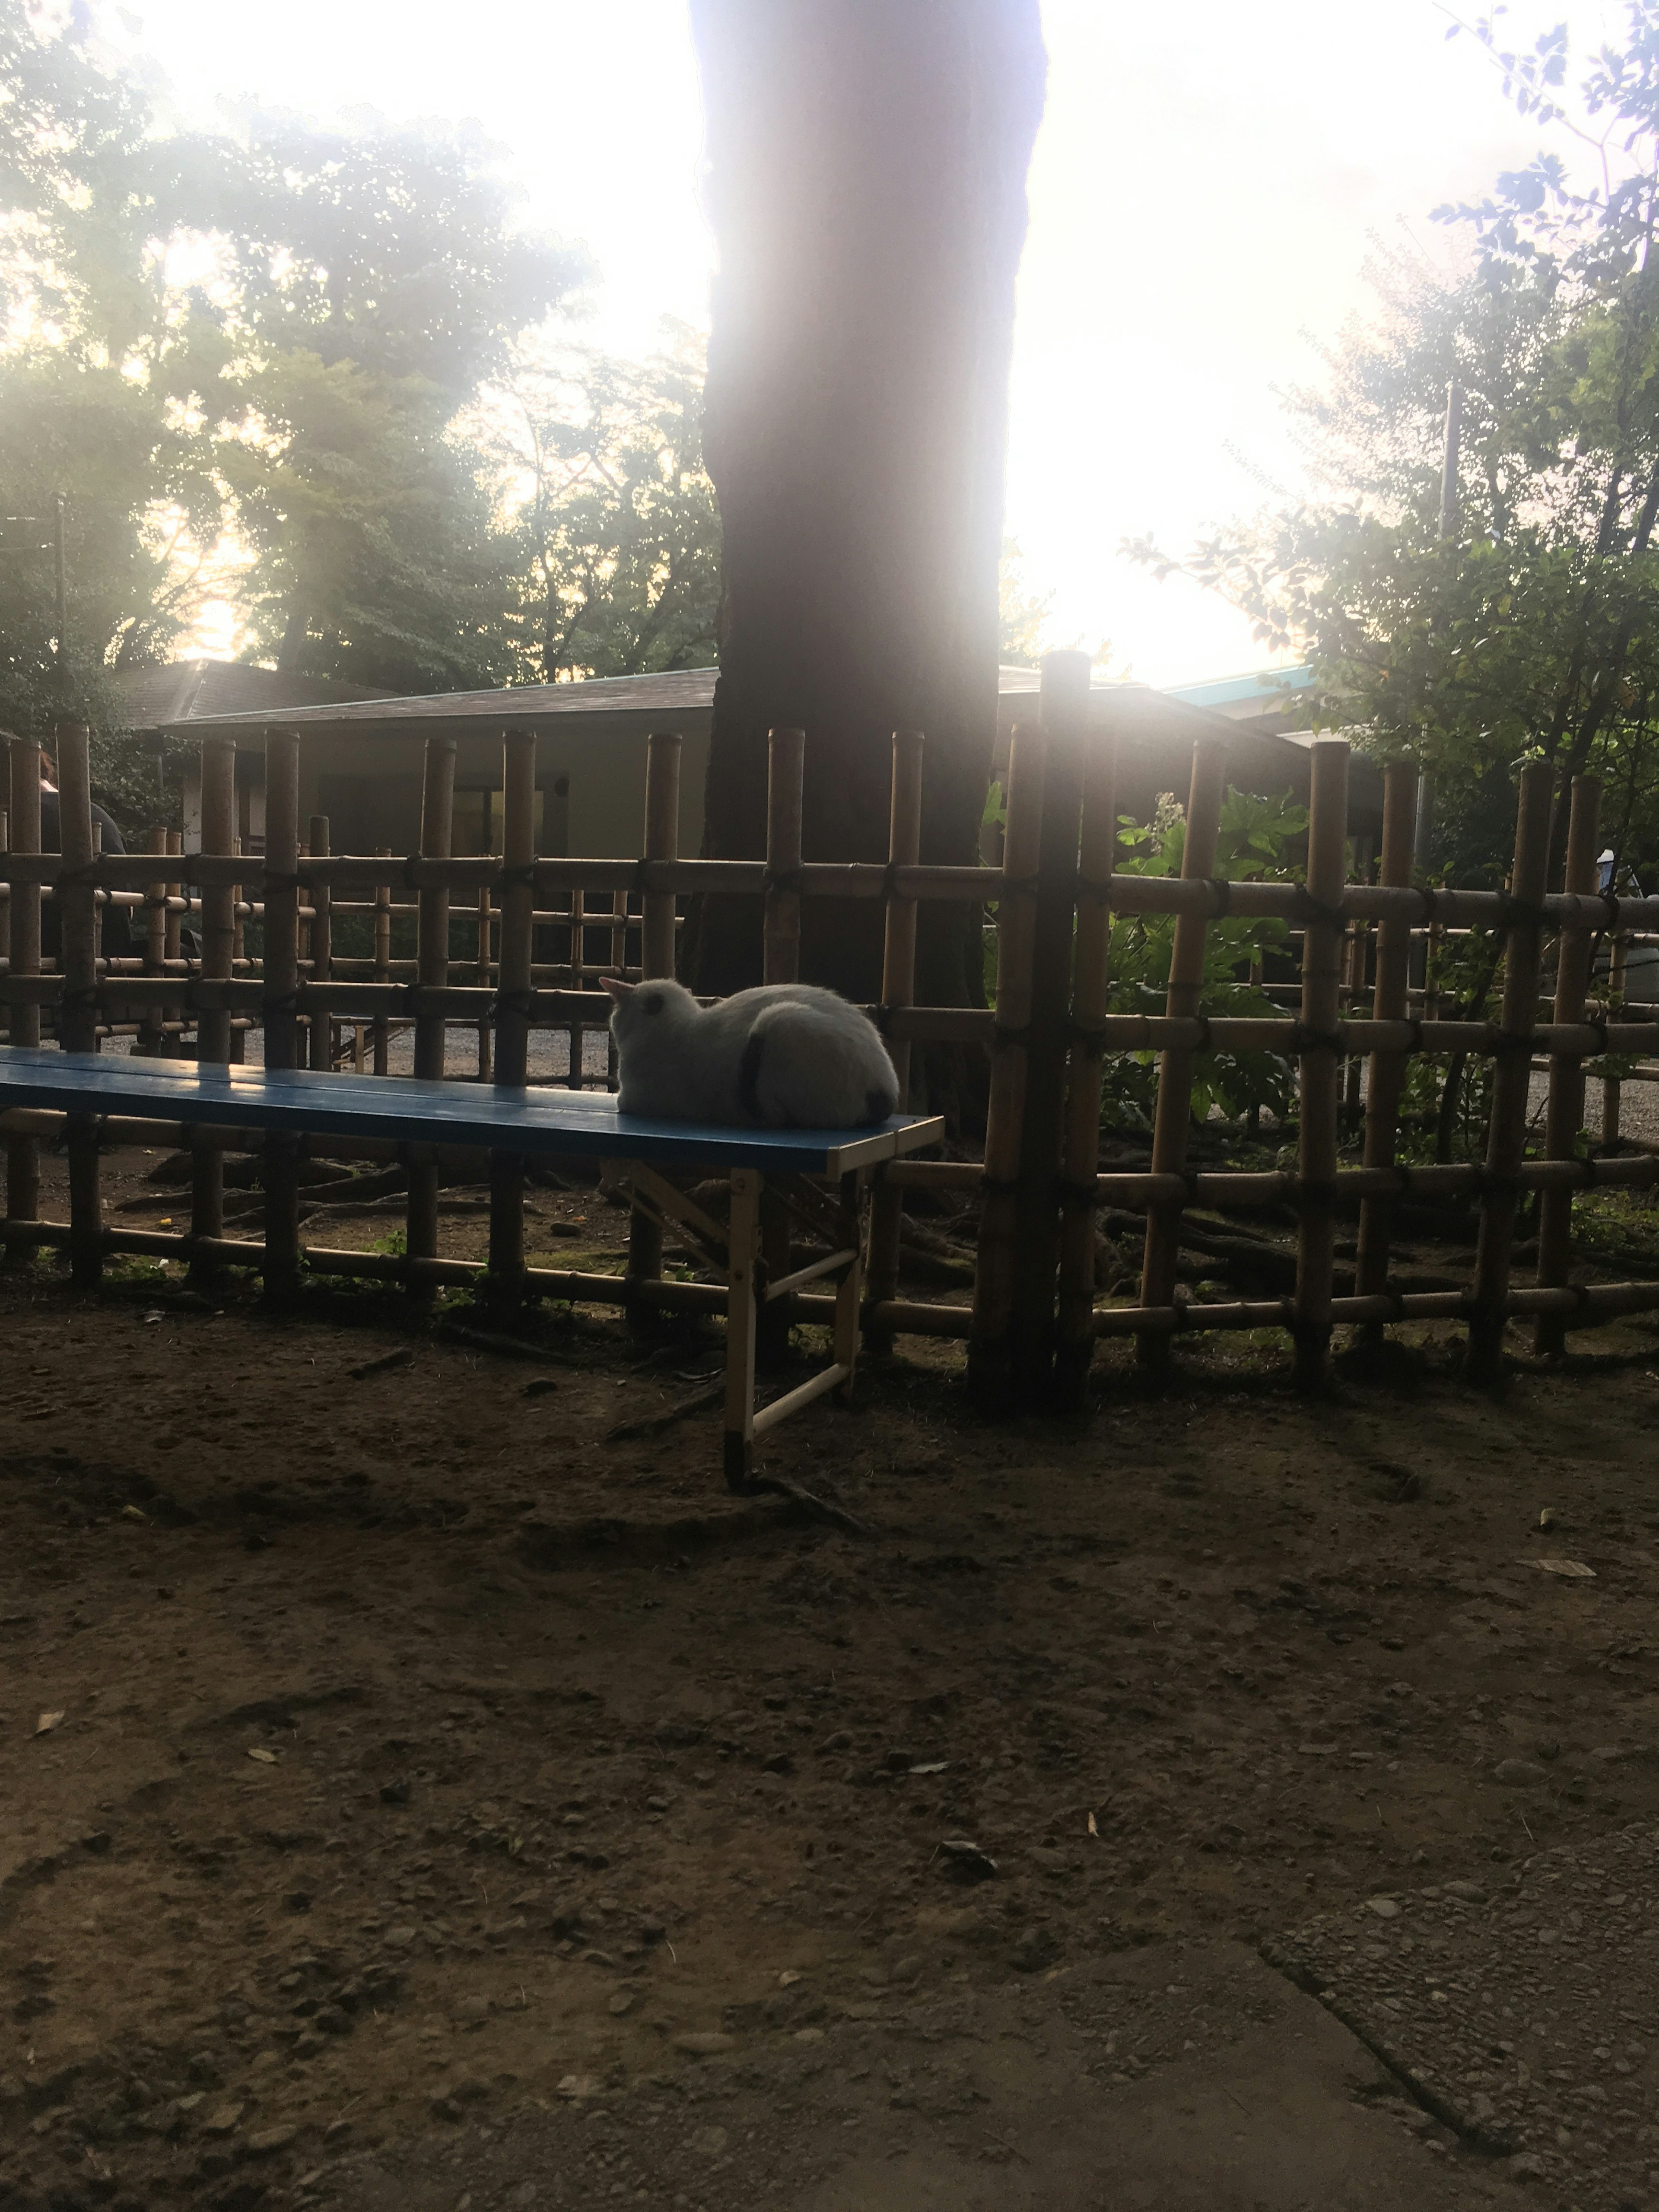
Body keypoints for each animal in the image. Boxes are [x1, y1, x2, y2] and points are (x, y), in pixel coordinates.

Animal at [606, 982, 902, 1132]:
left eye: (616, 1013)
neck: (679, 1027)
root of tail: (887, 1090)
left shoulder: (632, 1099)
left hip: (778, 1018)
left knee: (777, 1116)